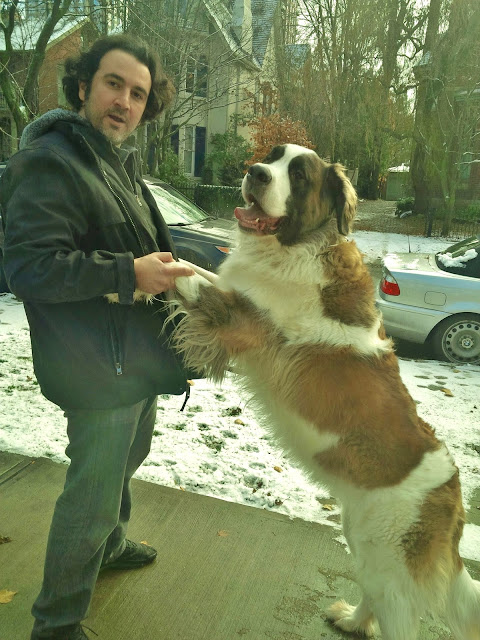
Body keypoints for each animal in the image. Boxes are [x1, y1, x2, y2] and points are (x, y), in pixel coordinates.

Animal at [171, 145, 478, 640]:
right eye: (273, 157)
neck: (295, 247)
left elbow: (185, 274)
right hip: (365, 540)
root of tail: (453, 494)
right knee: (371, 593)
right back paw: (351, 619)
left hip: (389, 559)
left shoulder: (242, 320)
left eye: (298, 176)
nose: (255, 173)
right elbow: (193, 269)